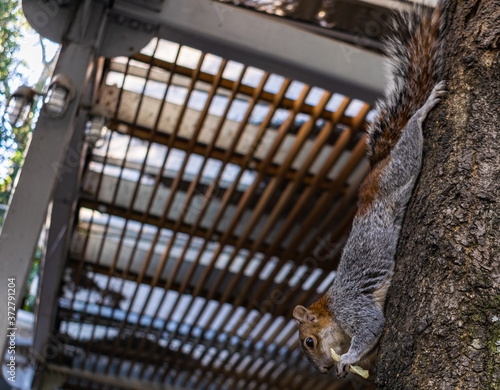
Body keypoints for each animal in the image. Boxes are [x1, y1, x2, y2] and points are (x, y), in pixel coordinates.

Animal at [292, 0, 450, 378]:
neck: (332, 311)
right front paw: (349, 366)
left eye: (309, 342)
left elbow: (370, 328)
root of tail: (372, 174)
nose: (322, 370)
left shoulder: (353, 306)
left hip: (399, 170)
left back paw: (422, 111)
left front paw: (346, 358)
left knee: (410, 141)